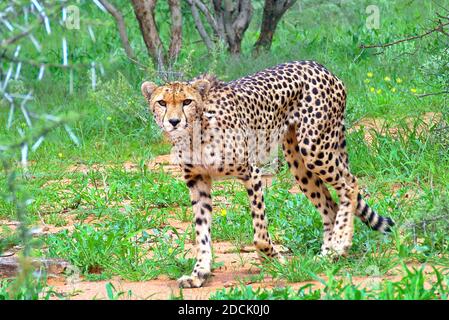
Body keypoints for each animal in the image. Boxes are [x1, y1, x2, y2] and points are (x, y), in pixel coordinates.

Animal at [140, 60, 392, 288]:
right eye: (162, 102)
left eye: (187, 102)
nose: (174, 121)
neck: (195, 132)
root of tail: (320, 66)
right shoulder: (198, 181)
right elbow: (201, 232)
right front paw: (199, 273)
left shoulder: (251, 172)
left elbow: (259, 233)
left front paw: (275, 259)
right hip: (298, 161)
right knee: (329, 205)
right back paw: (326, 256)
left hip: (315, 148)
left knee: (349, 185)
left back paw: (340, 244)